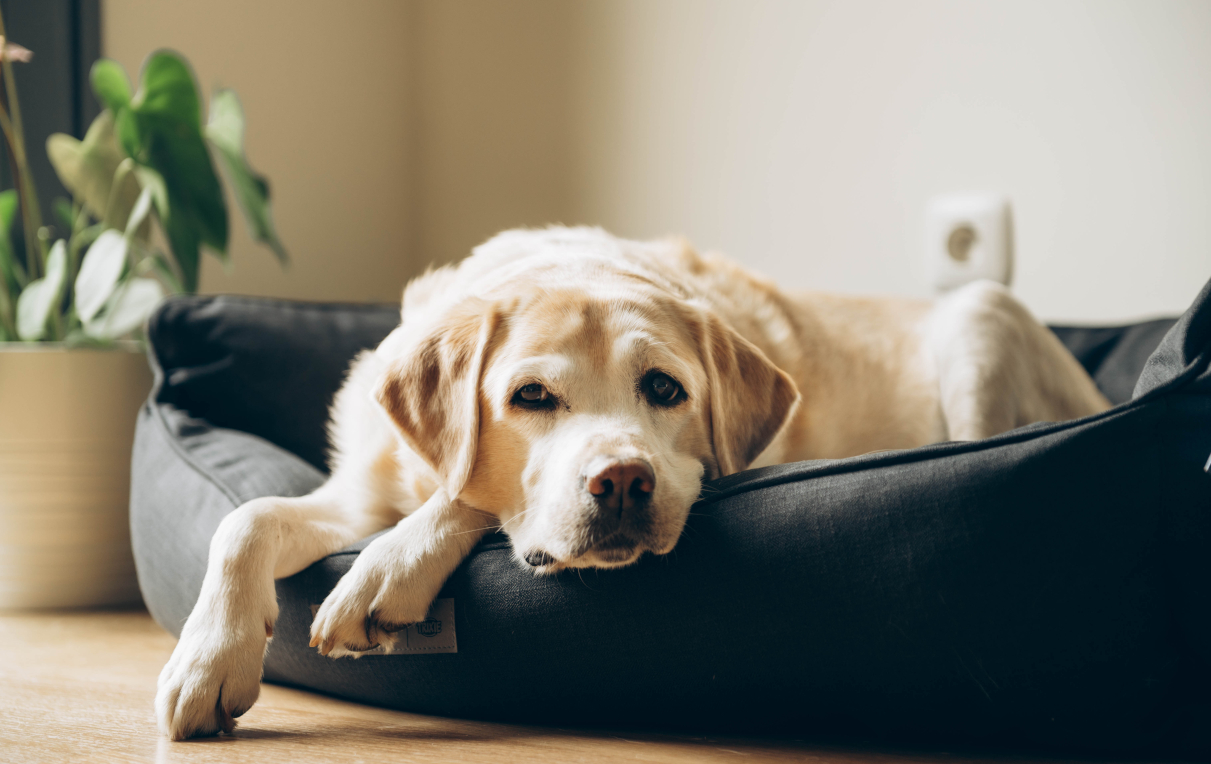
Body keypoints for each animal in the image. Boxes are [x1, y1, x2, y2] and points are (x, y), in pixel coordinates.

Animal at [156, 227, 1109, 740]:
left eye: (664, 389)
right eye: (530, 397)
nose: (619, 482)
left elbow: (465, 498)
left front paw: (386, 571)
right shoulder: (357, 492)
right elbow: (244, 520)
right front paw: (207, 659)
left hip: (981, 314)